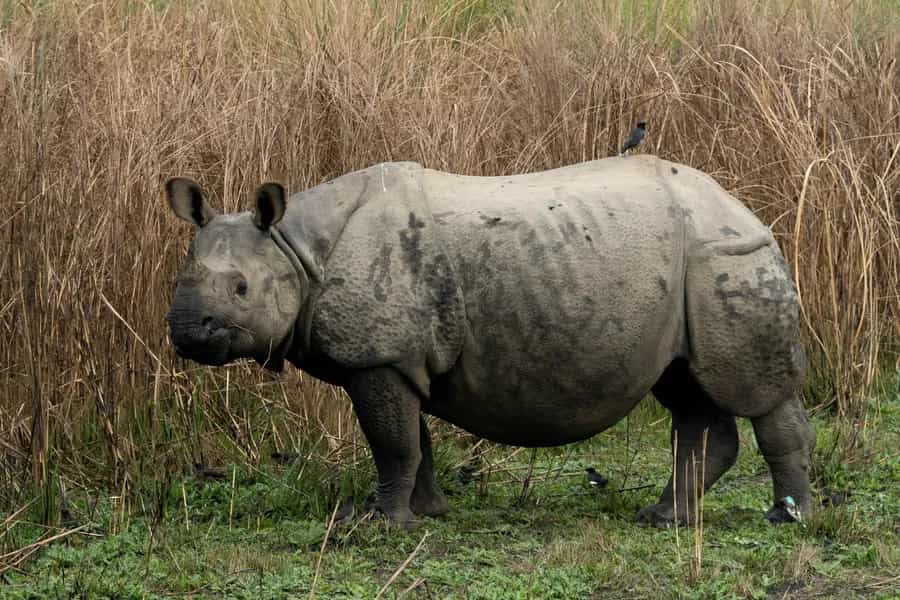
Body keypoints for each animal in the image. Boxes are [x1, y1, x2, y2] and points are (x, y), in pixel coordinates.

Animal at [164, 156, 815, 528]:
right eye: (180, 277)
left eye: (242, 289)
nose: (185, 331)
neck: (294, 247)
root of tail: (742, 205)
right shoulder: (399, 357)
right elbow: (414, 440)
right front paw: (425, 514)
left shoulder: (378, 356)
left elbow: (392, 443)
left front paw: (377, 523)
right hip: (686, 267)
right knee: (684, 387)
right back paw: (663, 518)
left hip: (726, 254)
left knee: (756, 394)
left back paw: (788, 519)